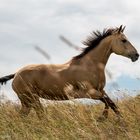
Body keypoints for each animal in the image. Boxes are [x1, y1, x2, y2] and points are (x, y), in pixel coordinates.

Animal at [0, 25, 139, 119]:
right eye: (124, 40)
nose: (136, 55)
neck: (89, 65)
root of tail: (16, 74)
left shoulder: (100, 90)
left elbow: (111, 103)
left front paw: (115, 119)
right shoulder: (89, 92)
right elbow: (108, 102)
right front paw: (103, 118)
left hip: (27, 102)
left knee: (24, 116)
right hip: (32, 99)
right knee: (40, 115)